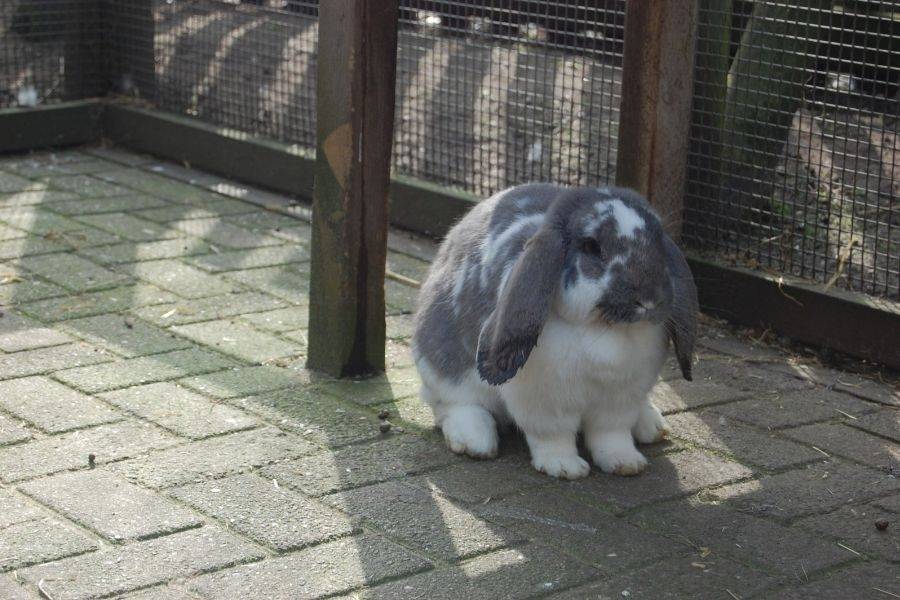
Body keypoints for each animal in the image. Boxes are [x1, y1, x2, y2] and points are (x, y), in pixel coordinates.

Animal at [412, 183, 700, 478]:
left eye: (659, 242)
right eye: (591, 246)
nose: (649, 300)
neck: (603, 330)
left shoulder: (619, 401)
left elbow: (611, 435)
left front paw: (625, 463)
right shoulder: (545, 403)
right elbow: (553, 436)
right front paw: (565, 467)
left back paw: (652, 426)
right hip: (441, 367)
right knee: (450, 404)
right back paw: (475, 440)